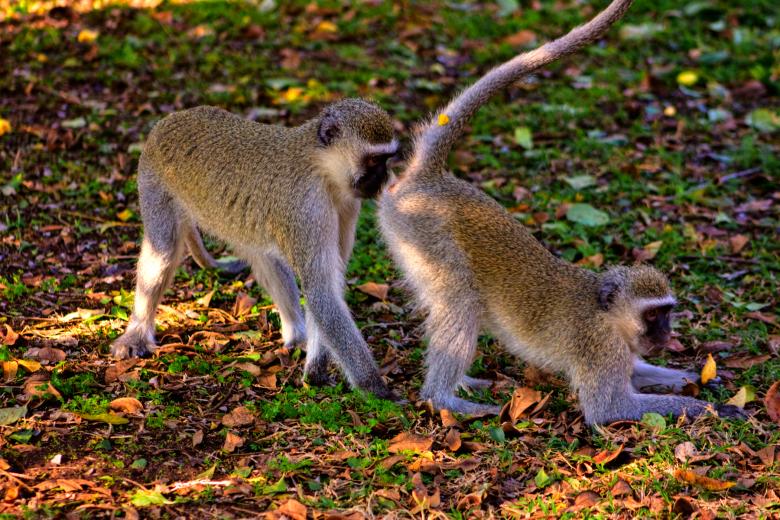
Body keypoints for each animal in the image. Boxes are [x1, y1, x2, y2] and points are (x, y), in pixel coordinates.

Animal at [111, 99, 399, 400]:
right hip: (153, 182)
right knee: (162, 253)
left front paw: (315, 371)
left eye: (386, 159)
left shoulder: (346, 205)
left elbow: (327, 288)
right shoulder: (307, 209)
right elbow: (322, 291)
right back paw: (137, 333)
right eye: (374, 161)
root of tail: (171, 119)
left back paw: (296, 336)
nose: (385, 178)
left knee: (267, 260)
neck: (321, 169)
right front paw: (375, 387)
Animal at [377, 0, 745, 423]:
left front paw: (699, 377)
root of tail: (430, 180)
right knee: (461, 302)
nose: (666, 335)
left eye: (667, 312)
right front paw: (713, 407)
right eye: (653, 315)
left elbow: (639, 370)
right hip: (424, 235)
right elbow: (609, 408)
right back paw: (443, 399)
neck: (607, 313)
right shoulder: (601, 347)